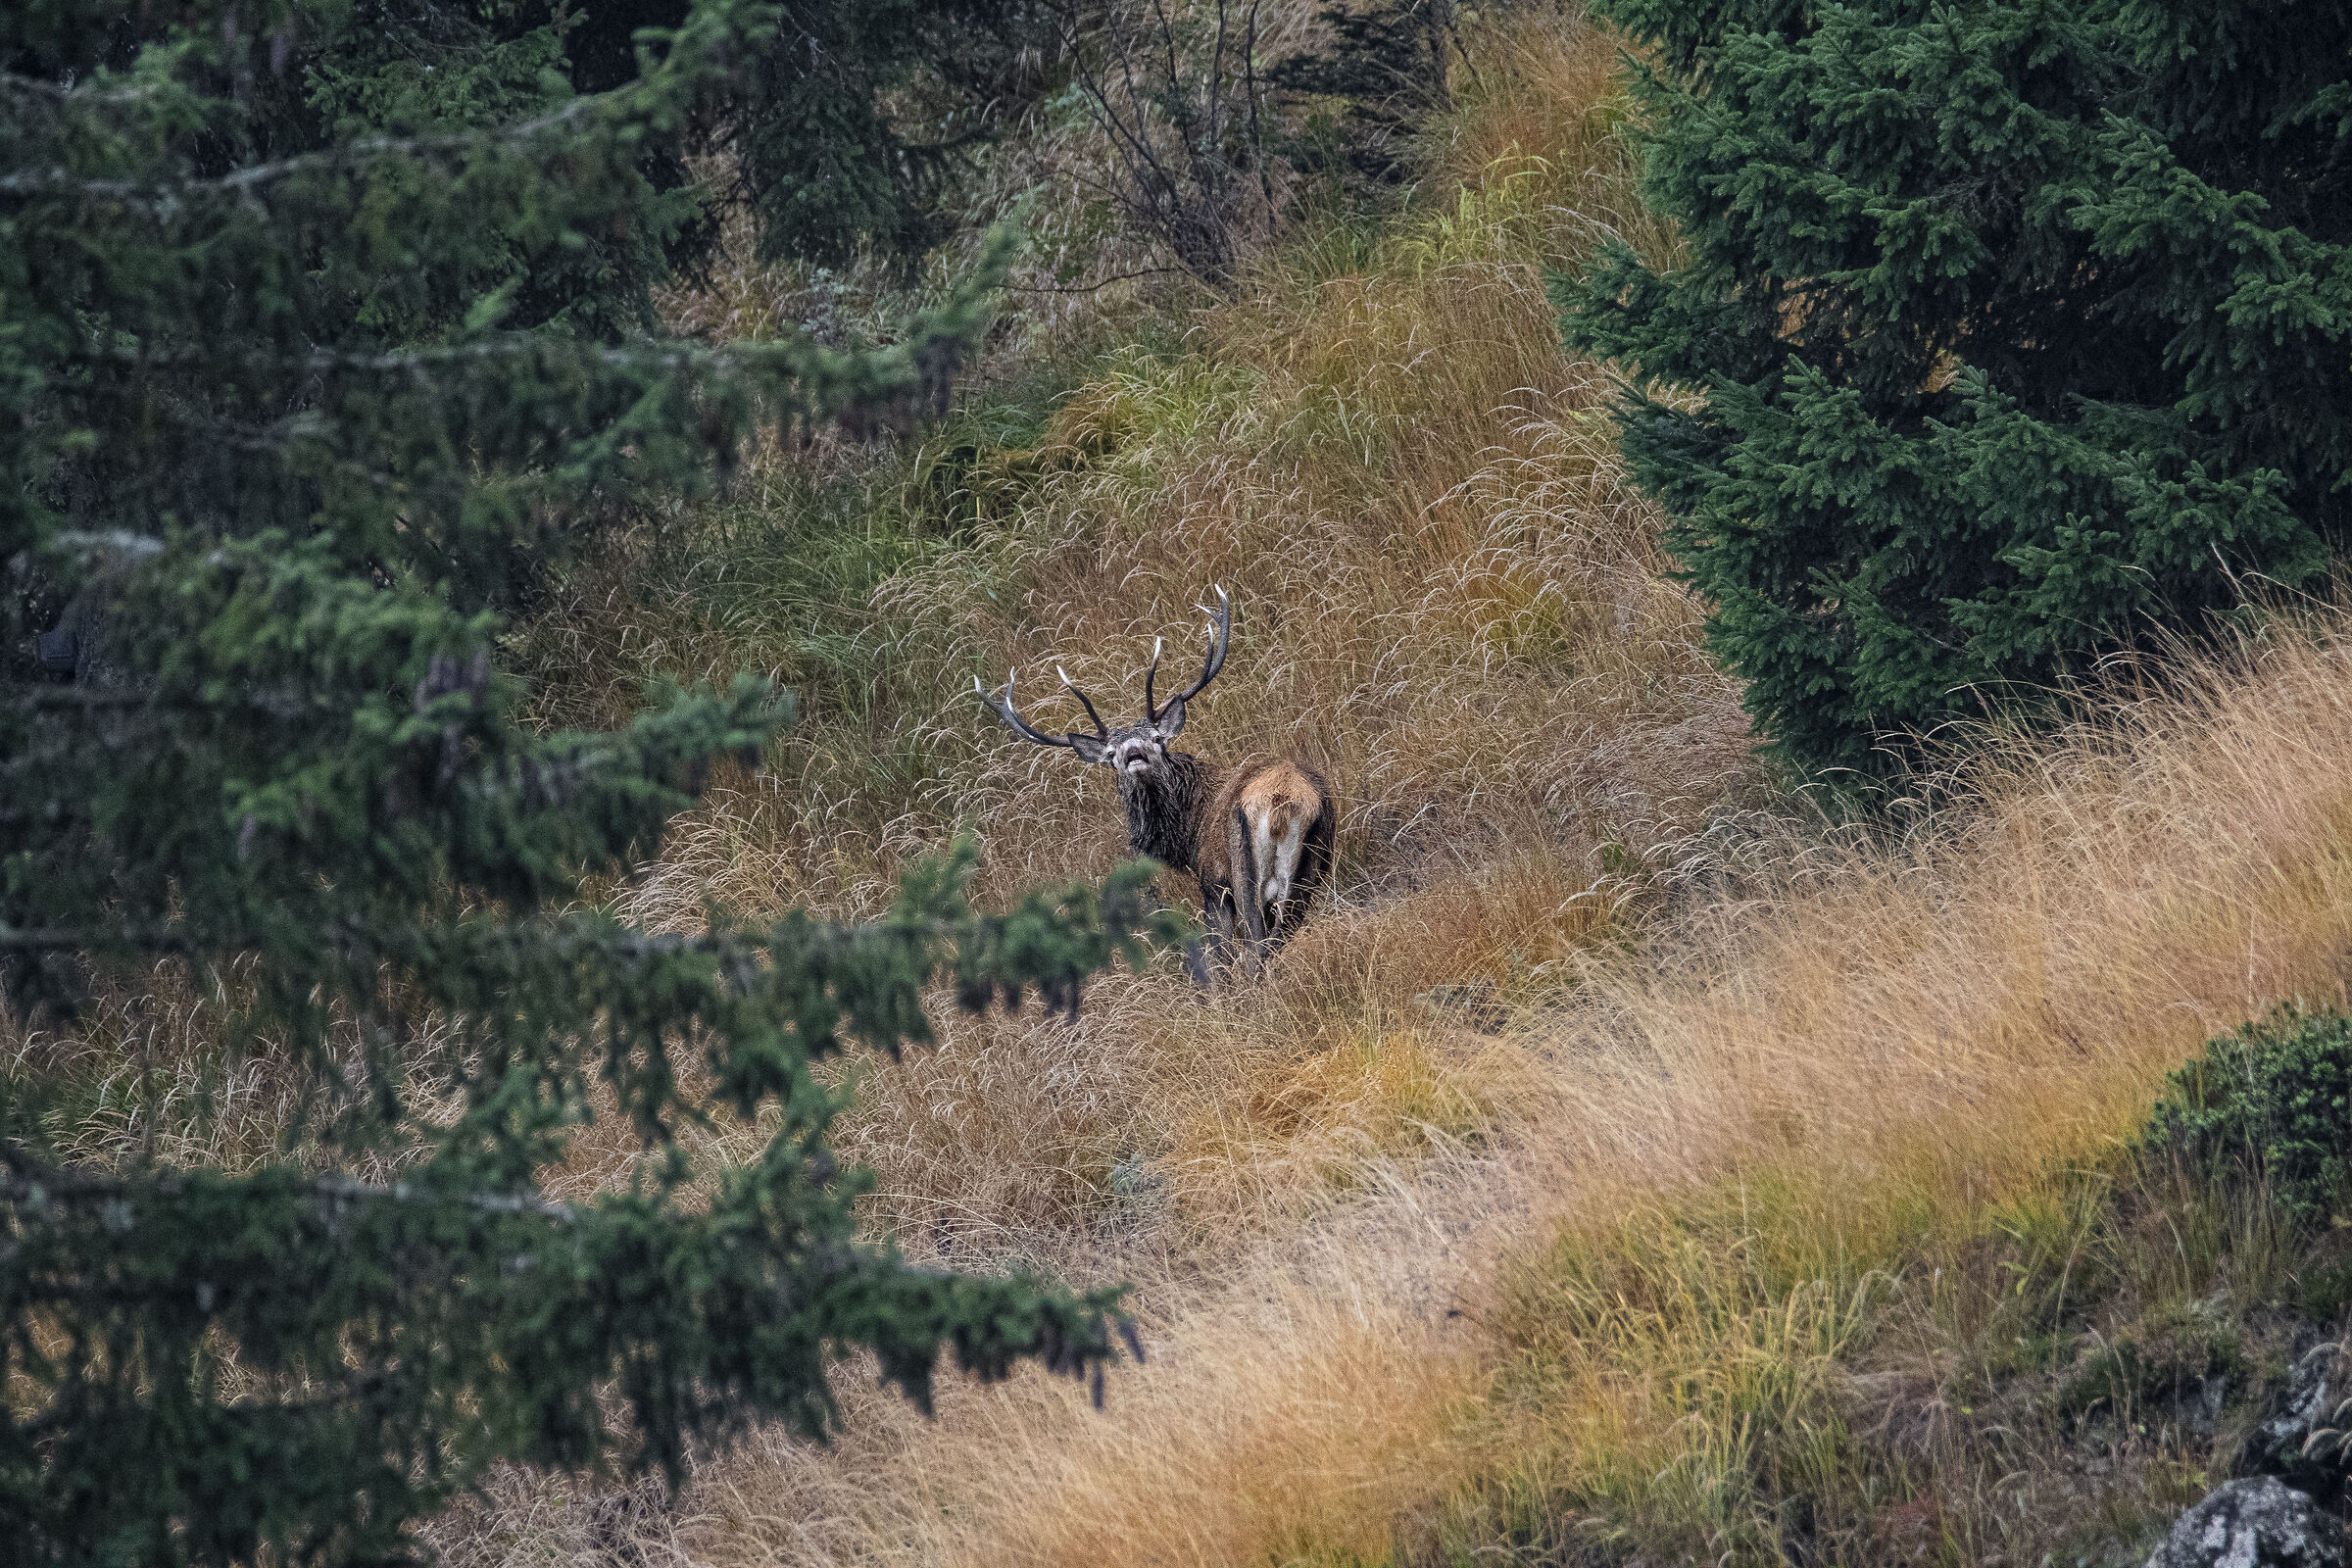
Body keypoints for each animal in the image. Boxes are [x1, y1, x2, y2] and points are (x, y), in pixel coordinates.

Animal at [974, 587, 1334, 981]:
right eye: (1111, 753)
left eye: (1157, 739)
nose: (1133, 752)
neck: (1190, 833)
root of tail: (1283, 801)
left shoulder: (1214, 882)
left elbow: (1219, 953)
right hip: (1313, 867)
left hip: (1246, 873)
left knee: (1256, 949)